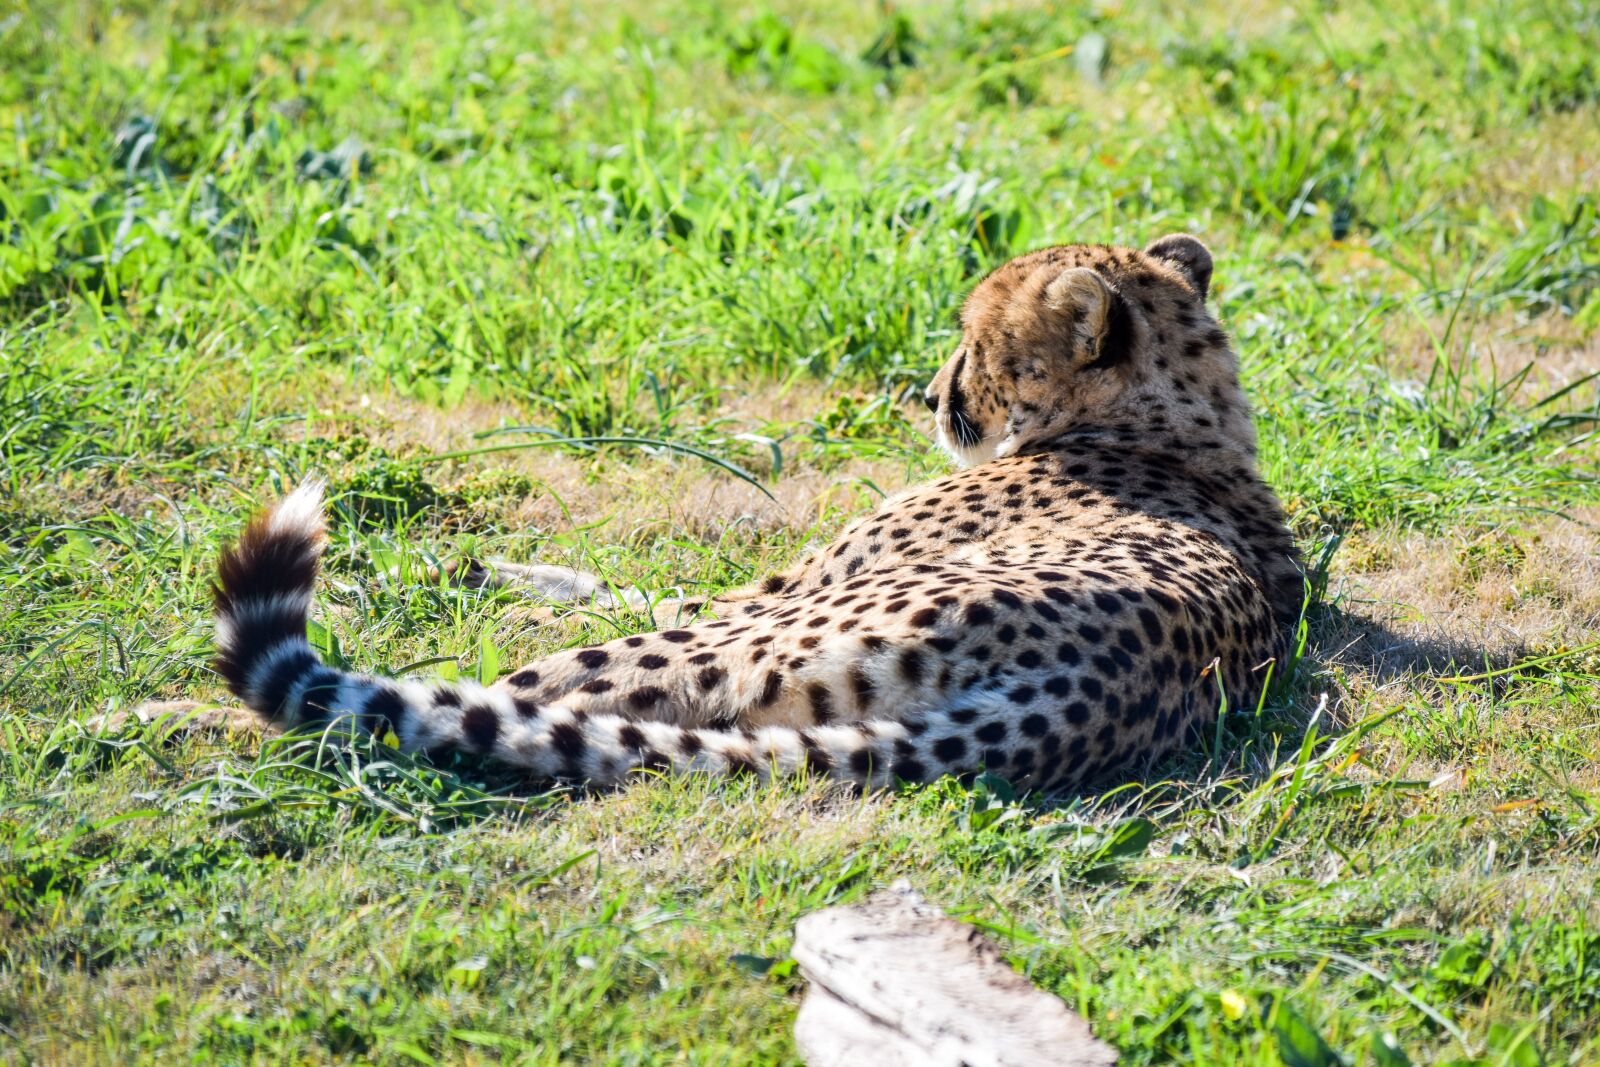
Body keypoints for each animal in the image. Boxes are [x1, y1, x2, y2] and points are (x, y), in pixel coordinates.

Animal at [211, 233, 1302, 791]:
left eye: (974, 337)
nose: (927, 391)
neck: (1169, 425)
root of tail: (1082, 699)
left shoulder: (769, 595)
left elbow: (636, 592)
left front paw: (434, 577)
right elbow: (614, 574)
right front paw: (454, 568)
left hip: (742, 649)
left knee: (502, 696)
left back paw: (185, 718)